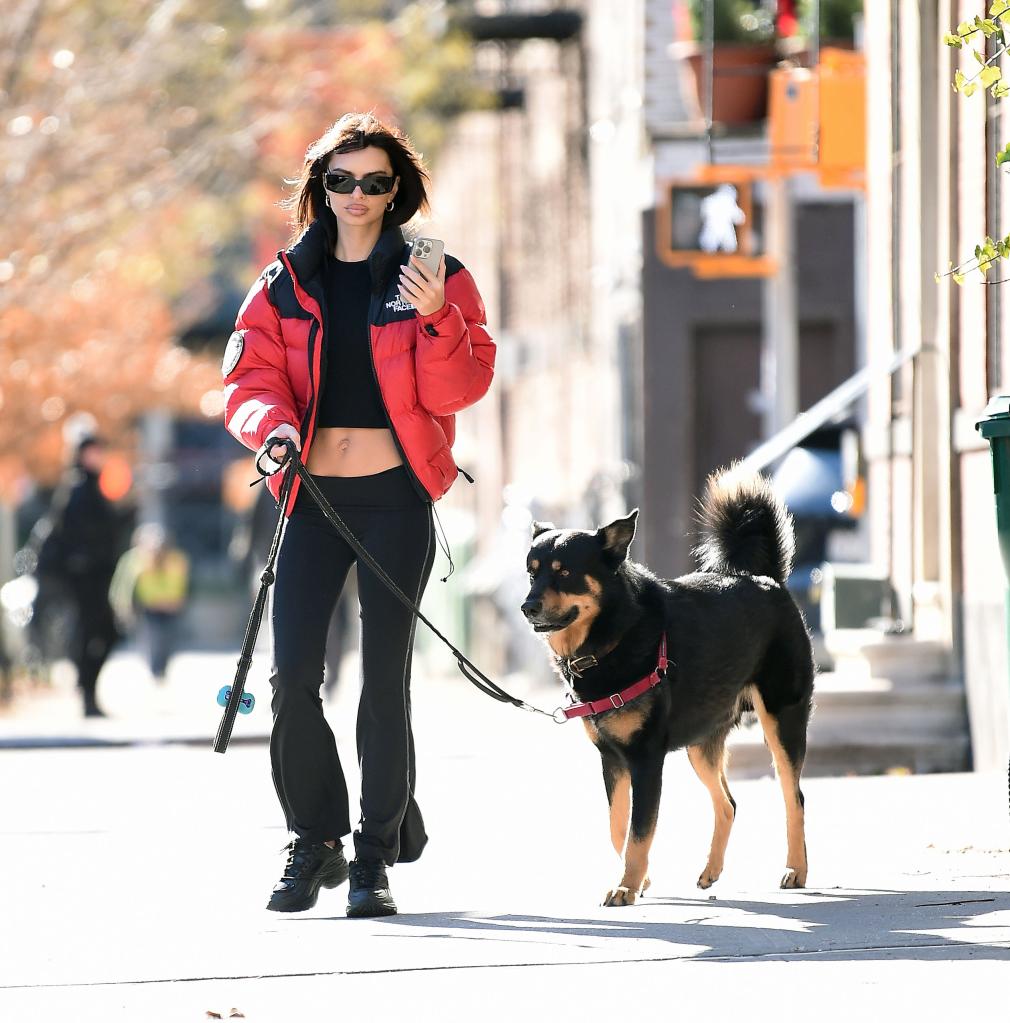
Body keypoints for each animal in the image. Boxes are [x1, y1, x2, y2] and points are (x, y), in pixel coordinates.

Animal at [523, 468, 818, 908]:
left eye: (564, 572)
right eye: (532, 571)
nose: (527, 607)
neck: (612, 635)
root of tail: (765, 578)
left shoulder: (646, 760)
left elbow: (639, 832)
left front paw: (627, 886)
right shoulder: (612, 760)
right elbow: (619, 827)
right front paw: (637, 880)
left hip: (781, 722)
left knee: (793, 797)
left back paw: (795, 869)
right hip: (701, 742)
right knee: (728, 803)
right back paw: (712, 870)